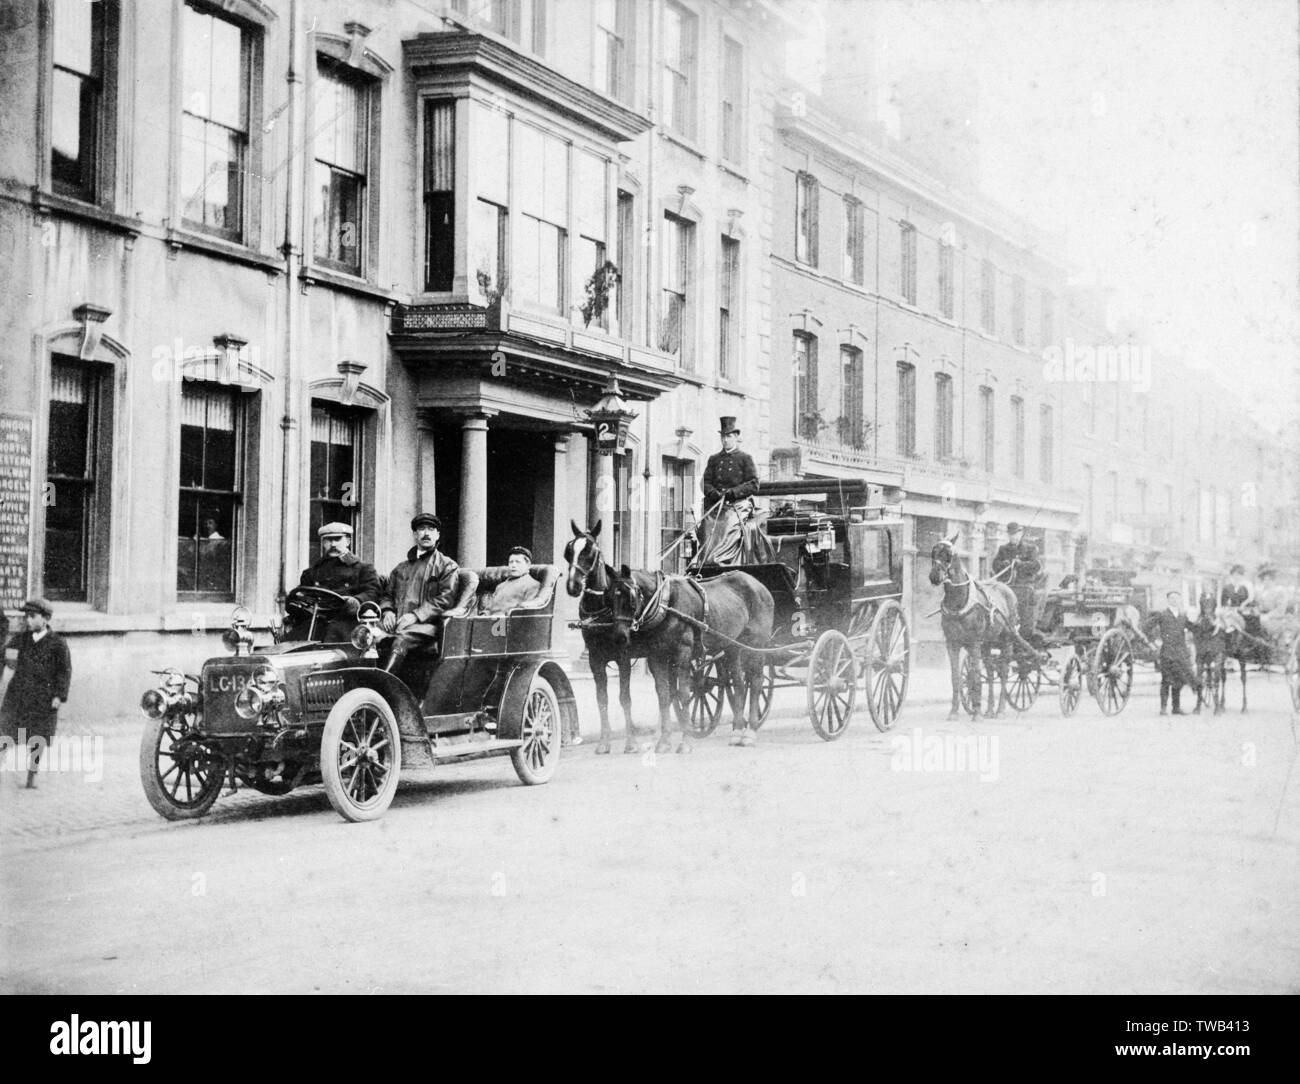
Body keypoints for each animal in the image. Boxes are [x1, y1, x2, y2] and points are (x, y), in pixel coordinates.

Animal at [608, 566, 769, 753]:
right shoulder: (656, 656)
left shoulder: (683, 653)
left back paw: (750, 733)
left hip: (757, 645)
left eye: (630, 598)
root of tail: (759, 585)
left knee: (756, 682)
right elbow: (664, 695)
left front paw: (685, 741)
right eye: (609, 597)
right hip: (733, 647)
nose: (619, 637)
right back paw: (737, 733)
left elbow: (684, 694)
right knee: (739, 684)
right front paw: (664, 742)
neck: (665, 603)